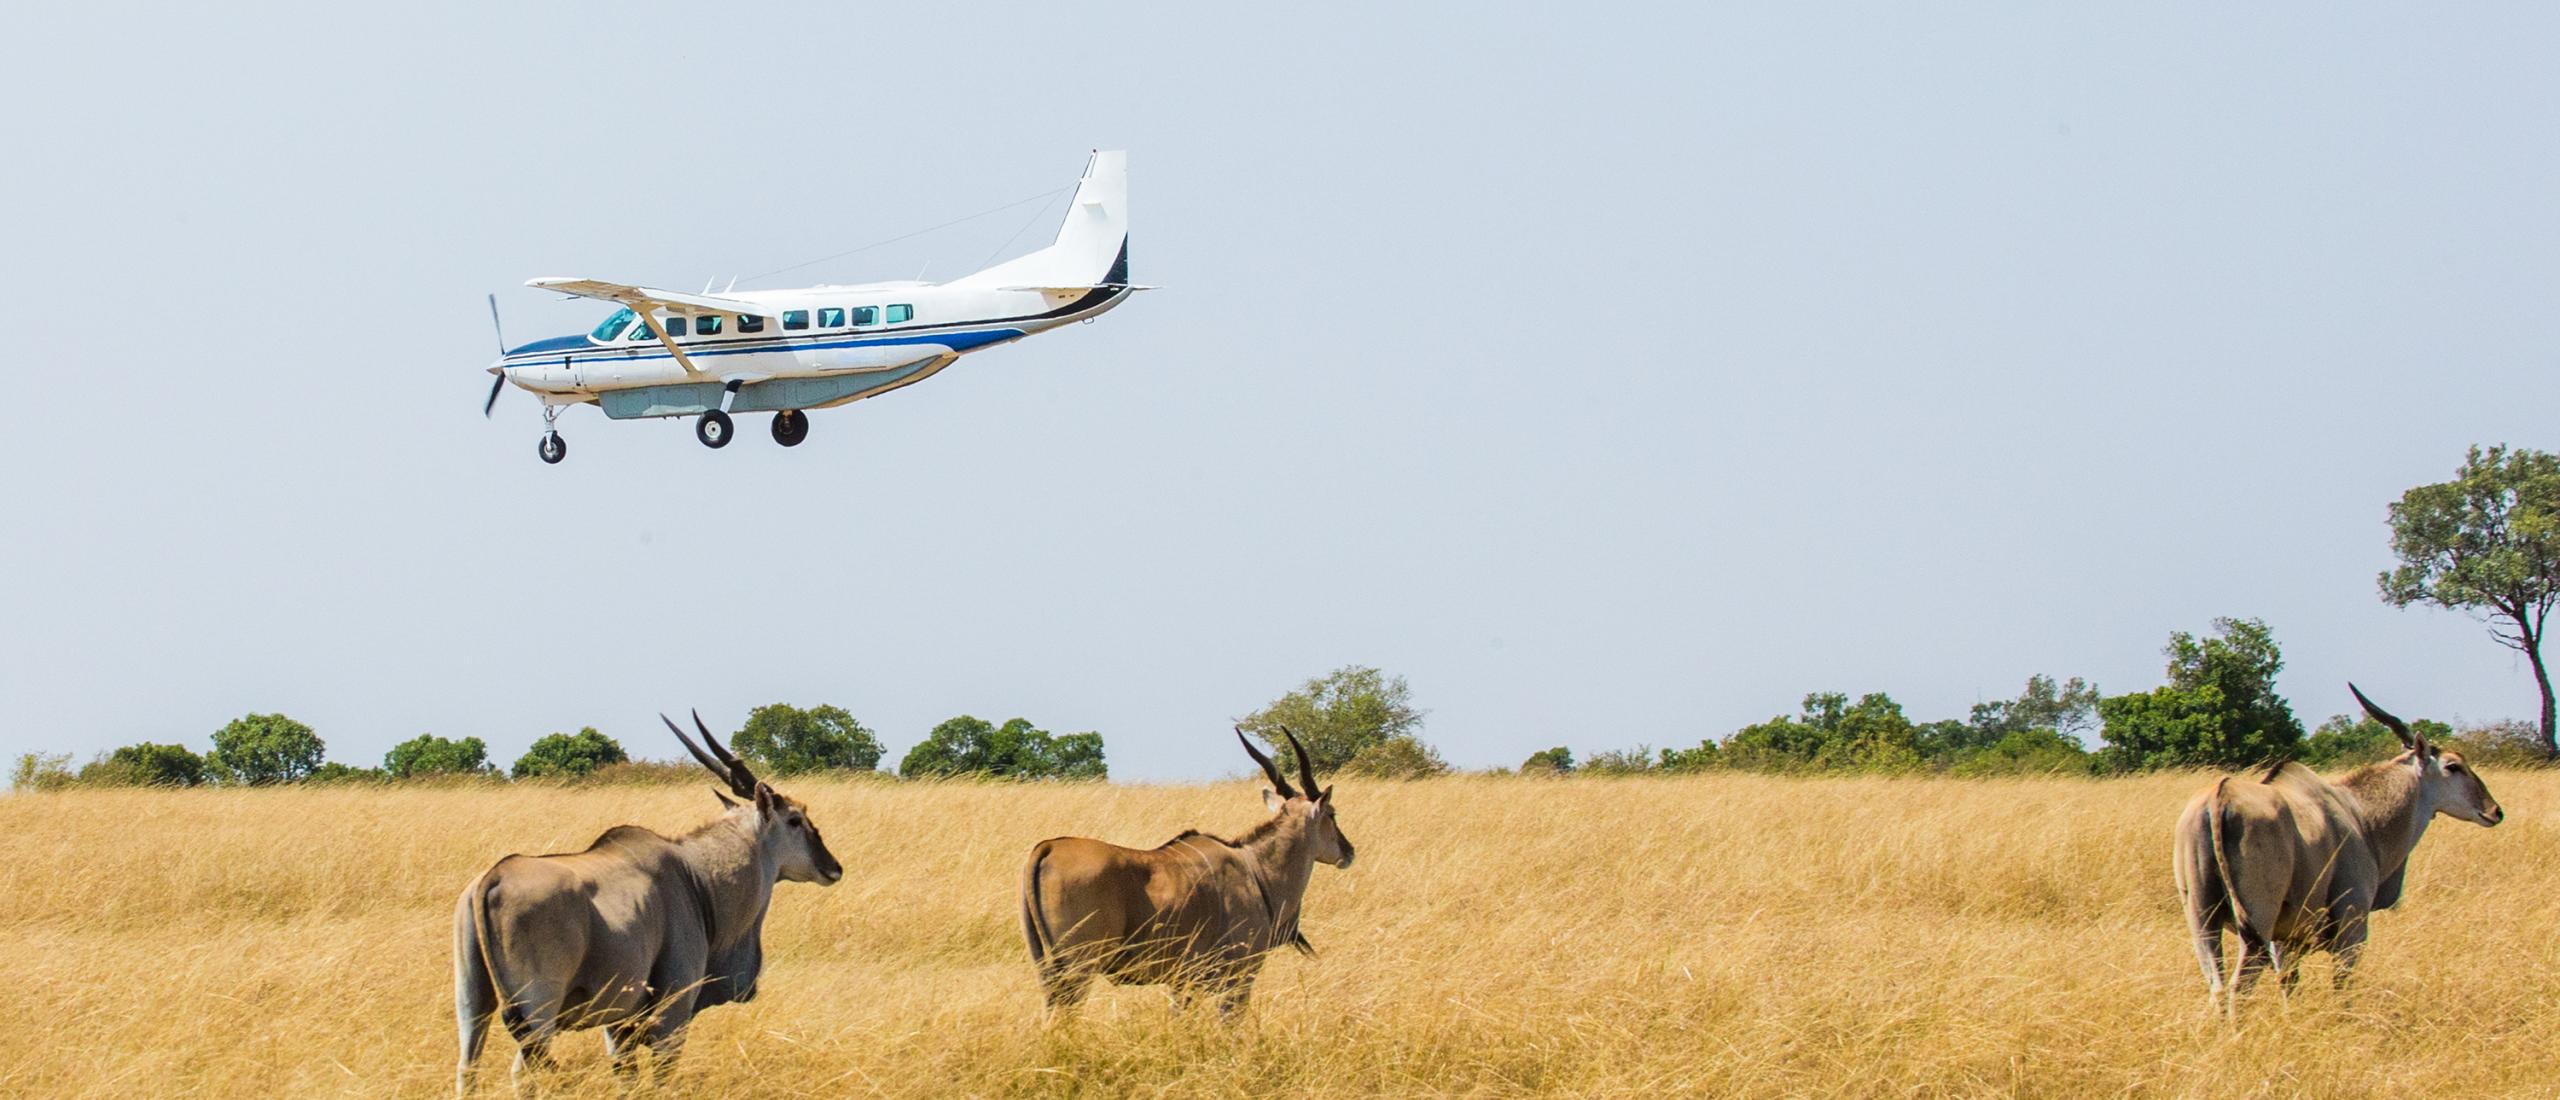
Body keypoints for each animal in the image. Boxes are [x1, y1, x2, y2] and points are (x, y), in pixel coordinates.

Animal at [445, 711, 834, 1089]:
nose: (833, 867)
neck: (695, 876)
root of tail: (492, 879)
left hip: (472, 1001)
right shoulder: (672, 1013)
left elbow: (627, 1078)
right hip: (539, 1008)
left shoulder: (618, 1024)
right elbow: (661, 1078)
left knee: (467, 1067)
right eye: (795, 819)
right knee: (523, 1073)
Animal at [1013, 726, 1361, 1018]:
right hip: (1078, 970)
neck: (1256, 869)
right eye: (1331, 813)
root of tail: (1047, 848)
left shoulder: (1184, 982)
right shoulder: (1238, 977)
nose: (1349, 851)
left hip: (1048, 969)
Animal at [2170, 685, 2508, 1007]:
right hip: (2257, 925)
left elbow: (2289, 986)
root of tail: (2219, 797)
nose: (2495, 811)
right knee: (2238, 988)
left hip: (2203, 920)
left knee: (2216, 987)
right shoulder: (2352, 926)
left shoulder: (2285, 941)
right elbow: (2342, 988)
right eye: (2453, 766)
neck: (2360, 814)